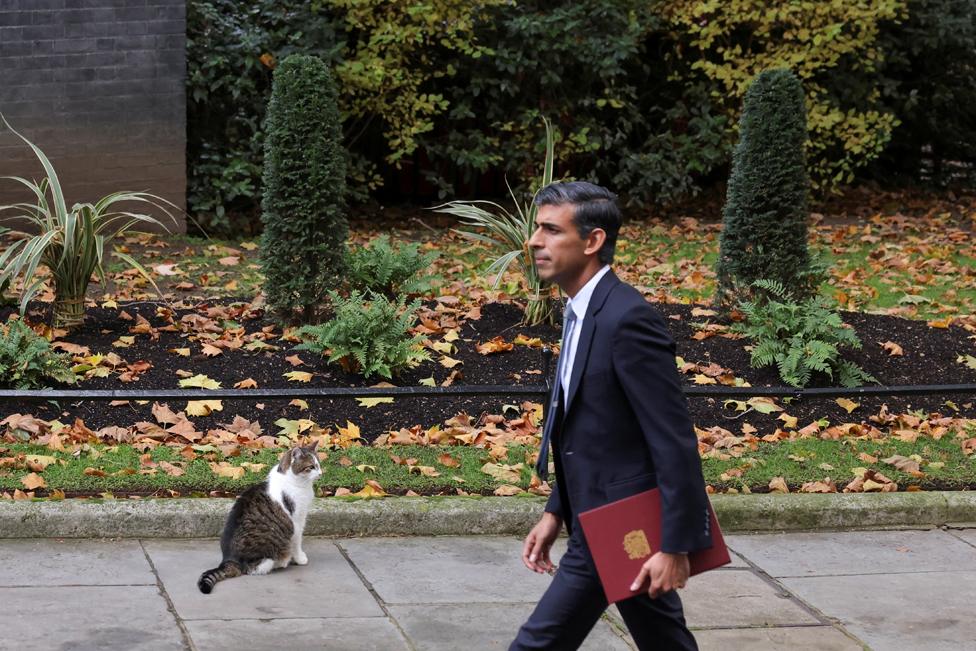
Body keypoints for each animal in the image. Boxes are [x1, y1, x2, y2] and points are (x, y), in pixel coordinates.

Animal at [196, 444, 322, 596]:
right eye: (311, 467)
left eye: (319, 464)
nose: (321, 473)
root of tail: (228, 559)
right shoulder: (297, 521)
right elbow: (297, 543)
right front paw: (300, 558)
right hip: (266, 554)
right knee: (254, 569)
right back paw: (282, 562)